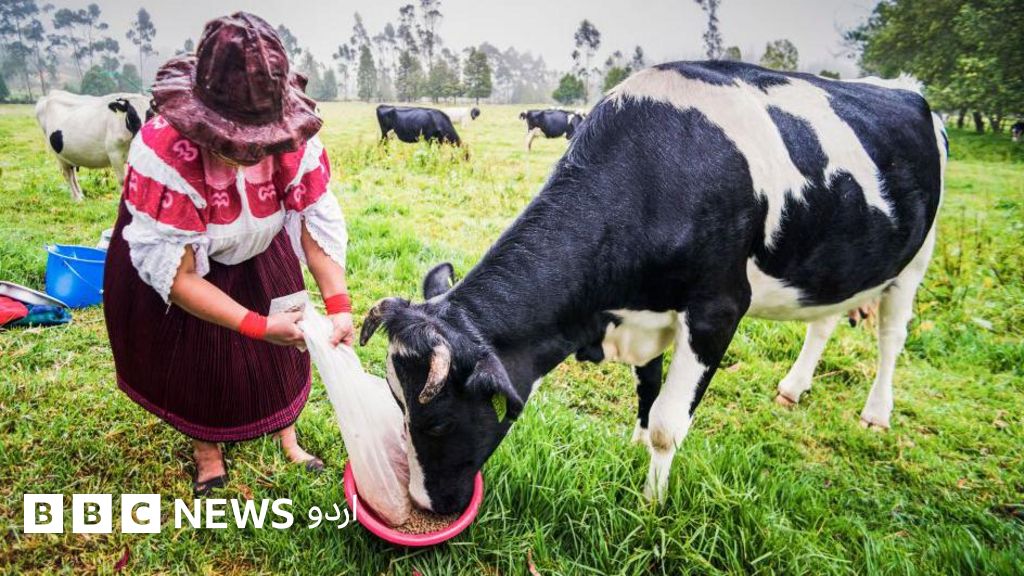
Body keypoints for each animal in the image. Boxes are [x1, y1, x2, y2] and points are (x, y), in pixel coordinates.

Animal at [361, 61, 946, 515]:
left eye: (437, 423)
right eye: (395, 402)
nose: (425, 505)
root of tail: (907, 89)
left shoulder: (716, 310)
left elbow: (668, 420)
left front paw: (651, 502)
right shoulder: (642, 313)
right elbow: (646, 389)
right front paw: (634, 444)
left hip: (915, 260)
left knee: (892, 338)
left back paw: (877, 414)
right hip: (838, 265)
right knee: (823, 321)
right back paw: (793, 386)